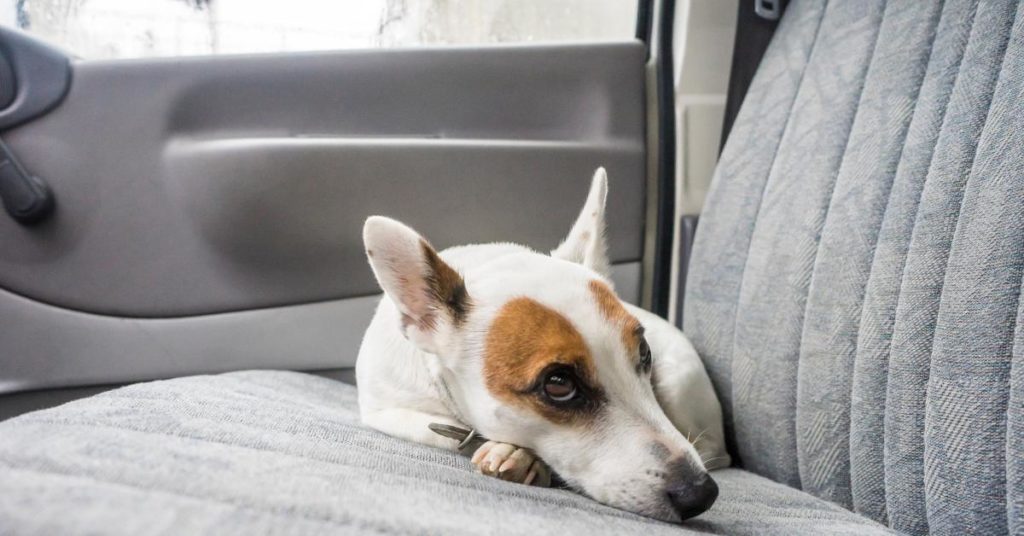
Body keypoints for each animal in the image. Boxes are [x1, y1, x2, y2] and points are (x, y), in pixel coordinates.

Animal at [356, 170, 733, 522]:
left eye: (645, 352)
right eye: (558, 384)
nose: (699, 492)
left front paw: (521, 456)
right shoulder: (386, 410)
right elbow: (442, 432)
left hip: (679, 384)